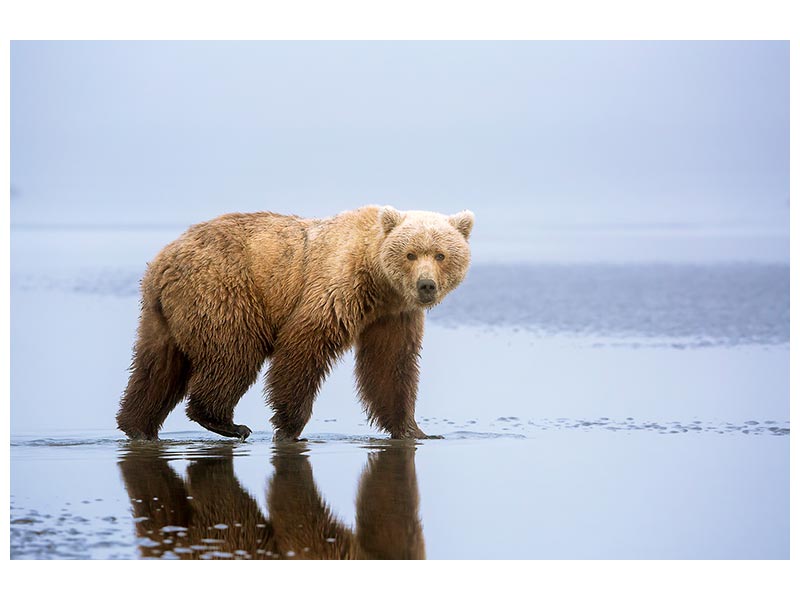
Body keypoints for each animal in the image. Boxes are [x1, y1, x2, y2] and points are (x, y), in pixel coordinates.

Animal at [116, 205, 474, 442]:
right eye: (411, 254)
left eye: (440, 254)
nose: (426, 285)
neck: (377, 280)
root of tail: (162, 261)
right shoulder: (337, 286)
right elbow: (303, 346)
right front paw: (289, 427)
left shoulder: (393, 316)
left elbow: (391, 367)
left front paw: (415, 429)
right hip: (224, 290)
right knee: (234, 353)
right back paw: (227, 422)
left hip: (162, 315)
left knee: (157, 367)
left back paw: (137, 425)